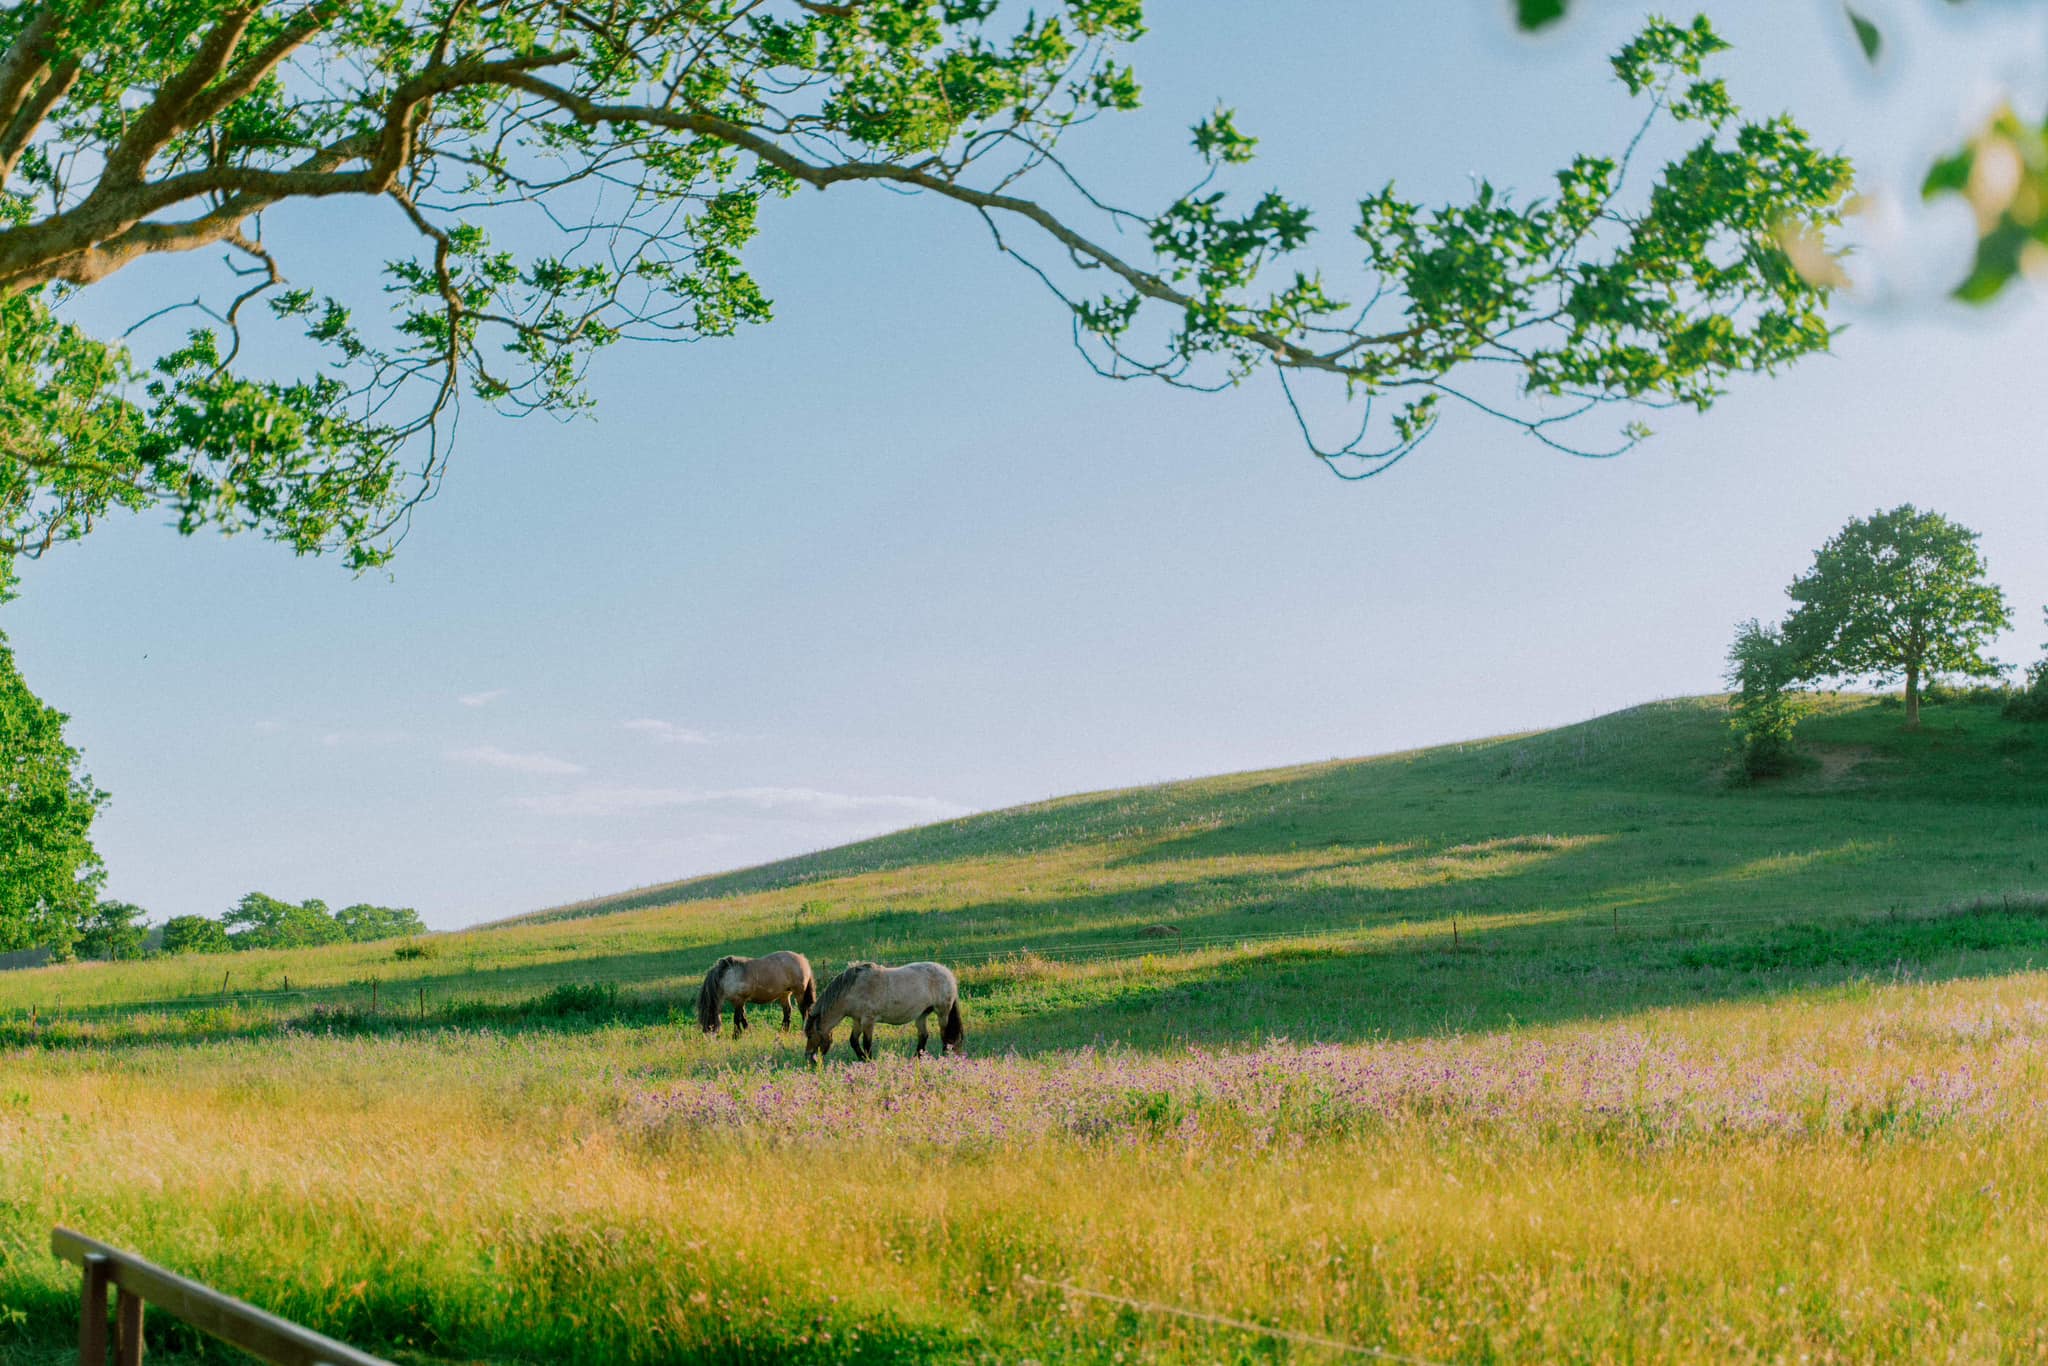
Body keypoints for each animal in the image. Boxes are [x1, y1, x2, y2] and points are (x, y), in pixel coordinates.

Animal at [802, 958, 962, 1064]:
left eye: (810, 1035)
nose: (808, 1058)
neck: (853, 989)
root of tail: (948, 974)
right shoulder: (857, 1020)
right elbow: (853, 1041)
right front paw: (862, 1059)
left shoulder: (868, 1020)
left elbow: (867, 1043)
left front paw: (869, 1061)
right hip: (922, 1014)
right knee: (923, 1036)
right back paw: (916, 1059)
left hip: (942, 1013)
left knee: (945, 1036)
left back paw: (944, 1057)